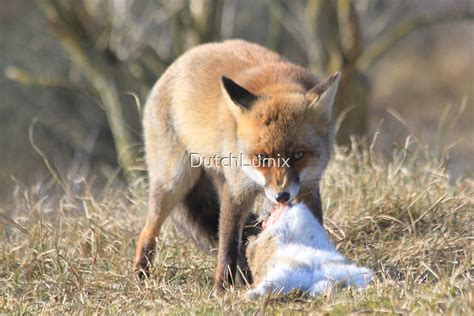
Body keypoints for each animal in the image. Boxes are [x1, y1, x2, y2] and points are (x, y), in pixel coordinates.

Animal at [134, 39, 340, 292]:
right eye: (262, 158)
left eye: (298, 155)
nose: (281, 196)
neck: (277, 83)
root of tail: (181, 59)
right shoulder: (237, 188)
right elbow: (228, 240)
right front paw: (222, 287)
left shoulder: (309, 186)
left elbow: (314, 225)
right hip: (174, 181)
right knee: (148, 230)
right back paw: (141, 272)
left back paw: (244, 275)